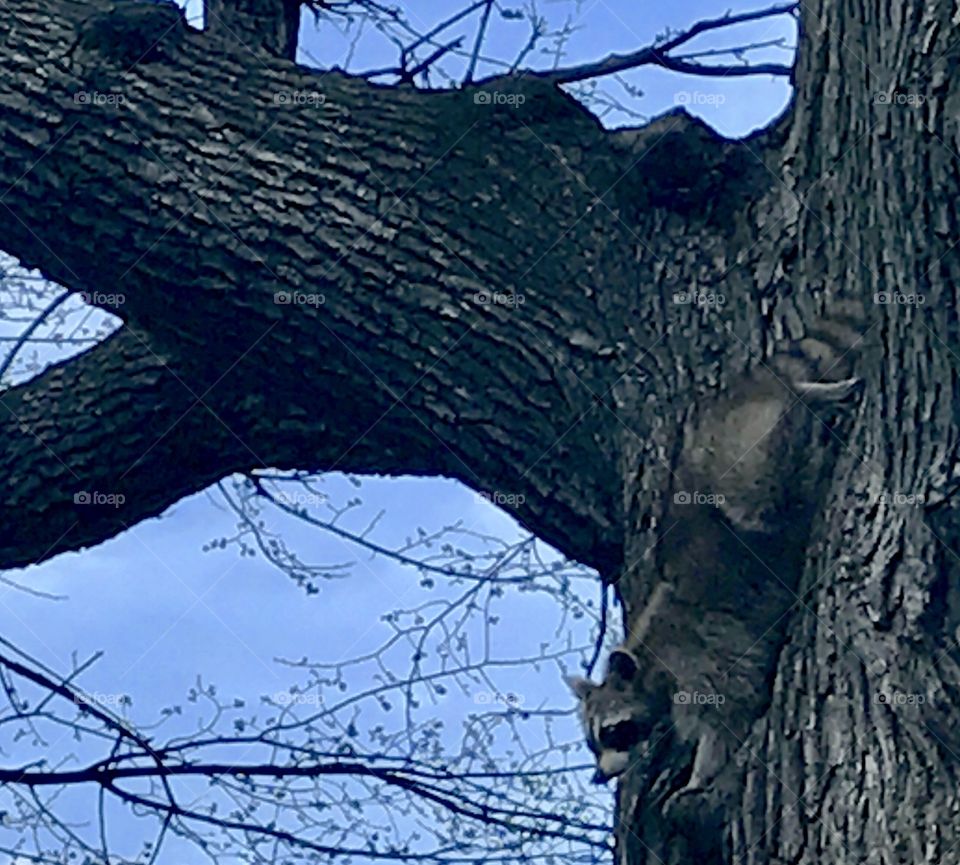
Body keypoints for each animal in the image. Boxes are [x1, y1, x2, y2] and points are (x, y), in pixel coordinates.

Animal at [569, 302, 867, 801]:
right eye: (593, 743)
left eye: (613, 732)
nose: (600, 775)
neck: (647, 663)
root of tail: (739, 390)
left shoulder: (698, 659)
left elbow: (727, 713)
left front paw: (701, 774)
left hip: (736, 459)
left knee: (768, 468)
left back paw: (808, 397)